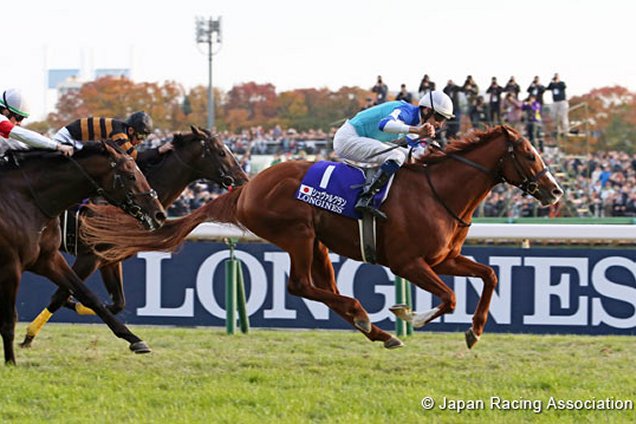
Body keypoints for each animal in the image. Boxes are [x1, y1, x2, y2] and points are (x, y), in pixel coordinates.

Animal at [0, 142, 166, 364]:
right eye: (131, 175)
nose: (159, 214)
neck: (26, 199)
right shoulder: (11, 266)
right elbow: (10, 319)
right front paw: (11, 361)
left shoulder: (48, 259)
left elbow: (87, 295)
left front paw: (135, 340)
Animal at [20, 126, 248, 348]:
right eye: (221, 152)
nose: (244, 180)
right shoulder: (89, 257)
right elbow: (61, 295)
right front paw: (29, 336)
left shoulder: (110, 259)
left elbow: (117, 304)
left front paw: (73, 306)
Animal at [78, 126, 560, 352]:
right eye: (530, 153)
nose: (555, 192)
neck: (437, 191)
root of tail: (246, 187)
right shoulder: (409, 263)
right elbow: (448, 297)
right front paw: (412, 314)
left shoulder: (444, 258)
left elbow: (490, 276)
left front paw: (474, 331)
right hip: (298, 232)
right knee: (301, 285)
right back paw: (367, 317)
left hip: (319, 243)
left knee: (323, 287)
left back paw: (374, 329)